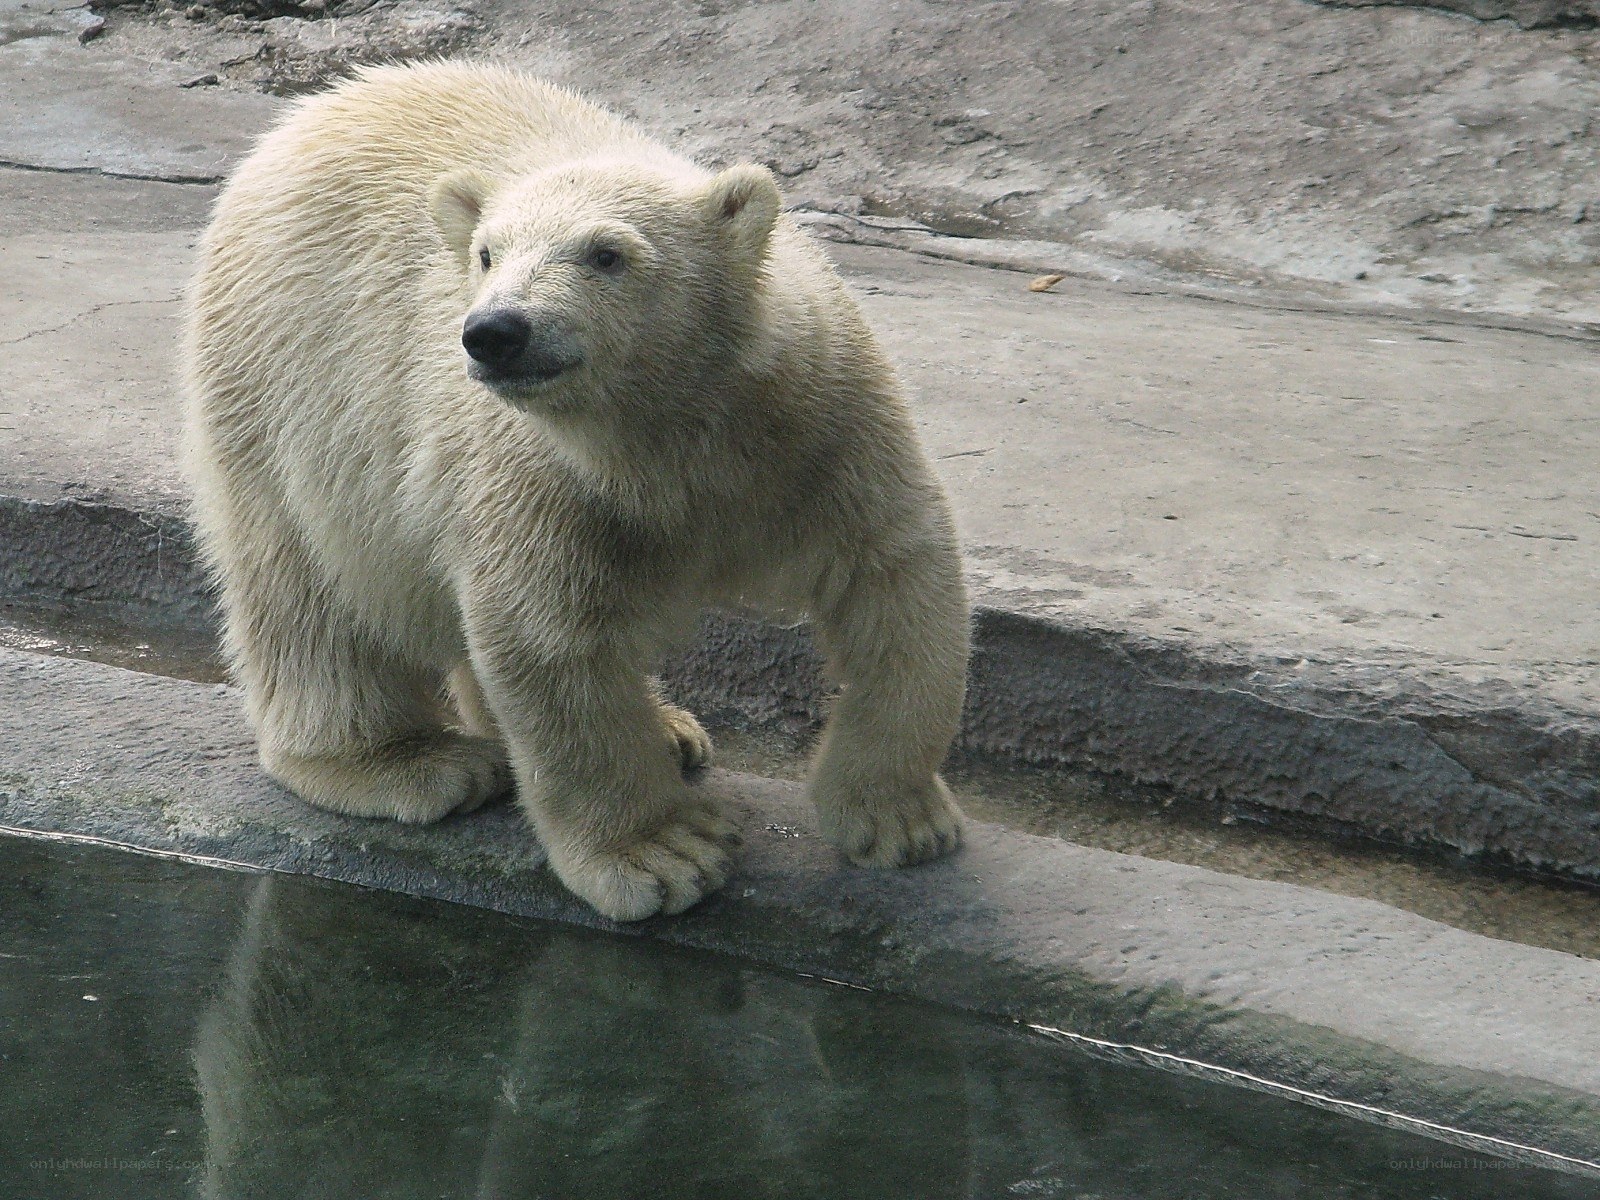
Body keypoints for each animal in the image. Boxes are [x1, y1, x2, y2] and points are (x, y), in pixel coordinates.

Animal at [182, 61, 970, 922]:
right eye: (488, 254)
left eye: (606, 253)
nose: (495, 331)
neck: (676, 429)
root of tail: (309, 113)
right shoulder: (549, 475)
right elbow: (550, 637)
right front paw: (664, 854)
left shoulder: (820, 422)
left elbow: (895, 577)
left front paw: (899, 821)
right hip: (287, 385)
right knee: (312, 589)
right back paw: (412, 763)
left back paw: (669, 729)